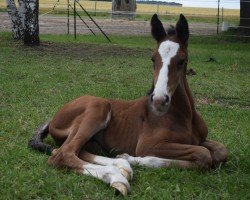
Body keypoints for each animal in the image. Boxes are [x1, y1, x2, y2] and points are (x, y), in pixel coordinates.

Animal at [27, 14, 229, 195]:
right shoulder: (149, 145)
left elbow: (219, 152)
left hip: (91, 140)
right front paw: (135, 159)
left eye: (181, 60)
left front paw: (128, 158)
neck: (184, 116)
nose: (159, 100)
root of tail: (55, 117)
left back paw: (121, 164)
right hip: (99, 107)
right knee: (63, 154)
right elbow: (203, 154)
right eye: (153, 59)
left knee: (72, 150)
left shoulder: (200, 139)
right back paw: (117, 178)